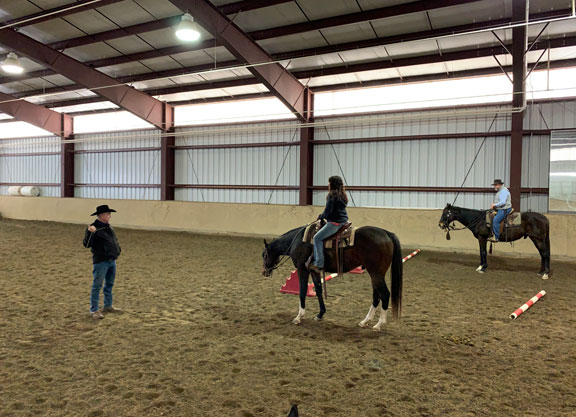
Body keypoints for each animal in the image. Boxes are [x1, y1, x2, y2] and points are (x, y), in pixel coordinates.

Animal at [264, 224, 402, 328]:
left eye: (264, 255)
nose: (264, 272)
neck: (297, 241)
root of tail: (386, 233)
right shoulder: (314, 271)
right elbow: (318, 290)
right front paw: (320, 314)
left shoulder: (302, 269)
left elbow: (302, 291)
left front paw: (299, 317)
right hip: (375, 274)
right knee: (376, 295)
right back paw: (365, 321)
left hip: (376, 274)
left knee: (384, 294)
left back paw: (378, 324)